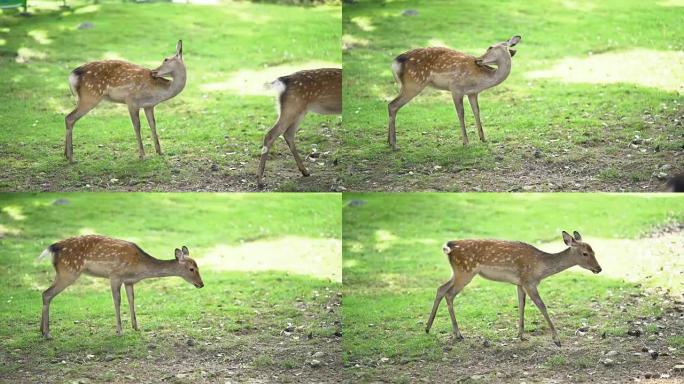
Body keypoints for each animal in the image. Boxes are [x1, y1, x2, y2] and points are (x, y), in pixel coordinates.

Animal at [37, 234, 203, 340]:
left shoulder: (129, 281)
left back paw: (41, 331)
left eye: (198, 266)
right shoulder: (115, 276)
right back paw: (47, 334)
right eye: (191, 269)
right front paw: (119, 331)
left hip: (62, 272)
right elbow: (117, 301)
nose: (201, 284)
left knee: (45, 294)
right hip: (69, 271)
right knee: (47, 293)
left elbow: (131, 300)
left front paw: (136, 327)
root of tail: (53, 247)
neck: (139, 268)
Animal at [388, 35, 520, 150]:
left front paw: (483, 138)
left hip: (406, 85)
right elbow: (461, 113)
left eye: (490, 47)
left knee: (391, 105)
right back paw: (394, 145)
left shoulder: (472, 93)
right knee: (393, 105)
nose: (478, 60)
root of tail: (395, 63)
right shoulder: (456, 88)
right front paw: (466, 142)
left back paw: (389, 142)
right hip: (414, 83)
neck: (480, 80)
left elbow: (476, 111)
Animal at [424, 231, 600, 348]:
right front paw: (557, 339)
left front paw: (521, 335)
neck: (541, 269)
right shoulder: (529, 281)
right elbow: (542, 306)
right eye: (585, 253)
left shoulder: (520, 283)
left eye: (594, 251)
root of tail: (449, 246)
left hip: (458, 272)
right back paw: (458, 334)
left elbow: (521, 305)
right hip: (465, 271)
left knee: (441, 288)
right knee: (449, 294)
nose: (599, 268)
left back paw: (428, 328)